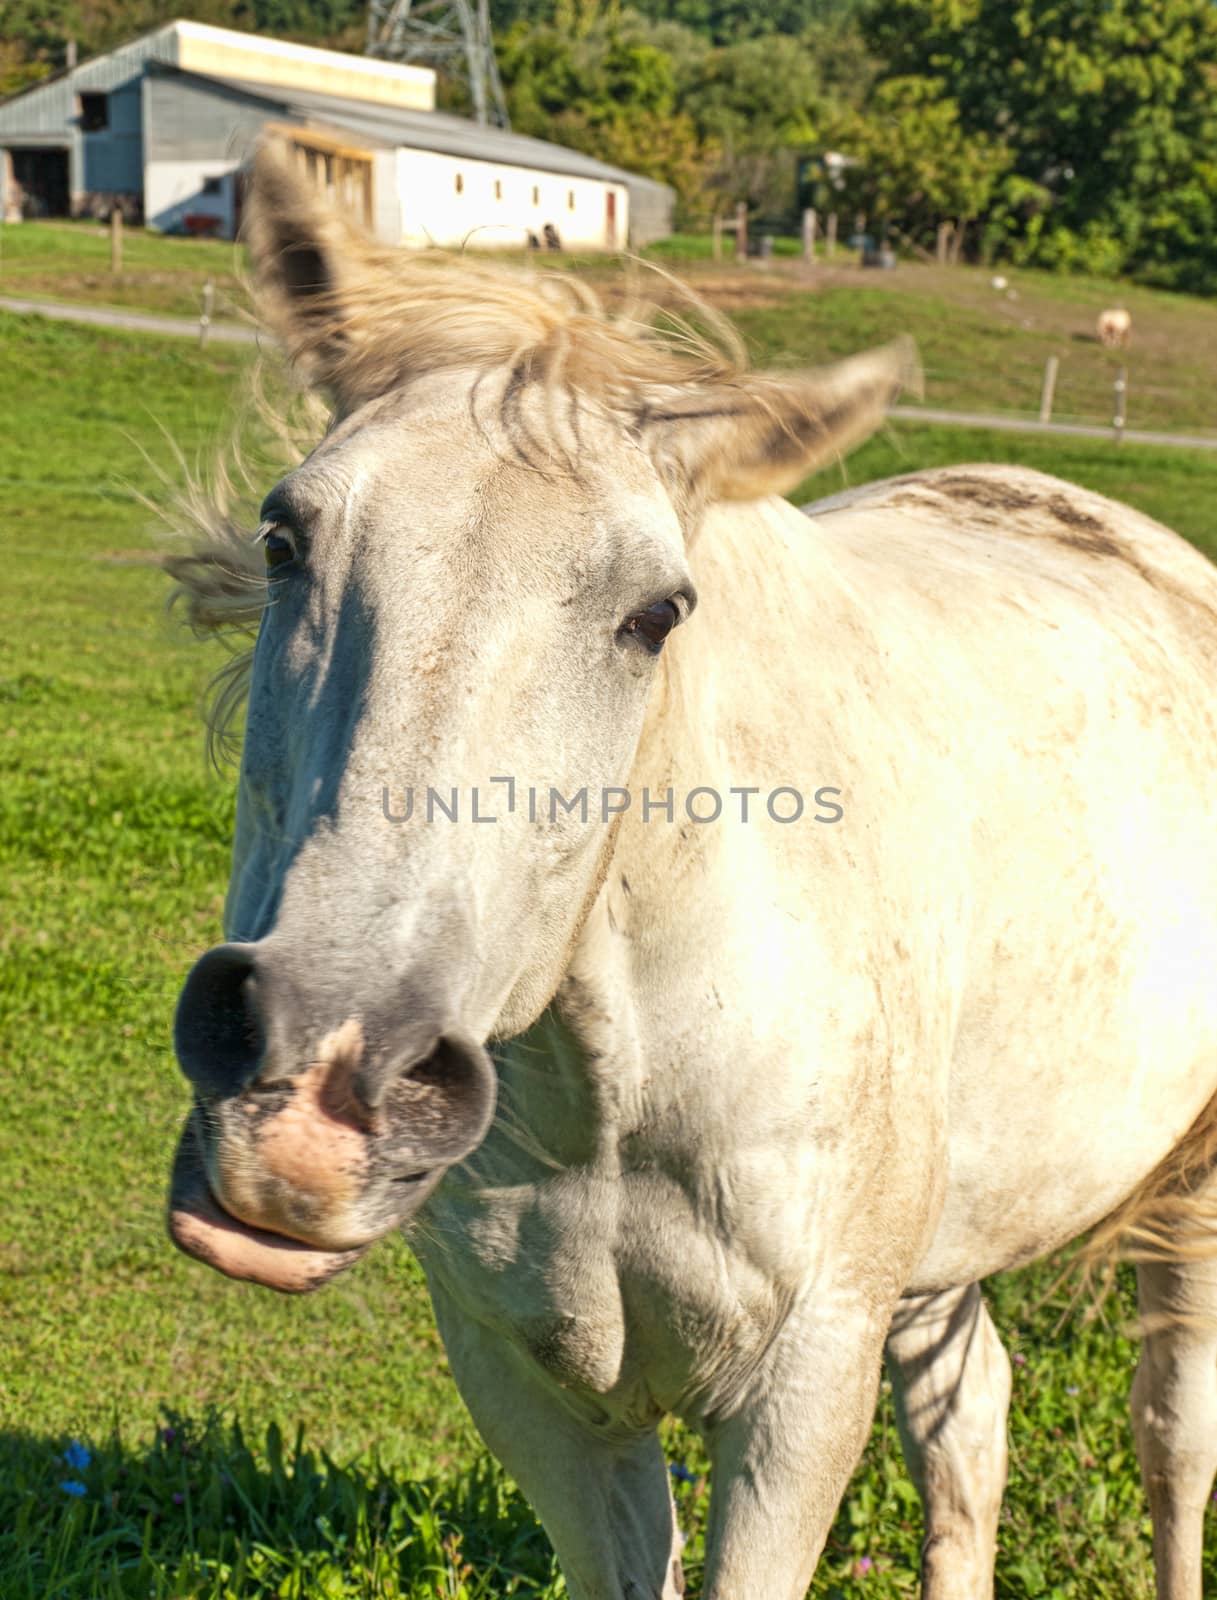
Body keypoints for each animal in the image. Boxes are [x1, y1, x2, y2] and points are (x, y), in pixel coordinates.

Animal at [166, 144, 1215, 1593]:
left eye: (656, 611)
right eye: (283, 540)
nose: (317, 1093)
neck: (619, 1085)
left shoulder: (798, 1389)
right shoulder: (536, 1393)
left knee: (1171, 1434)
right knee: (968, 1423)